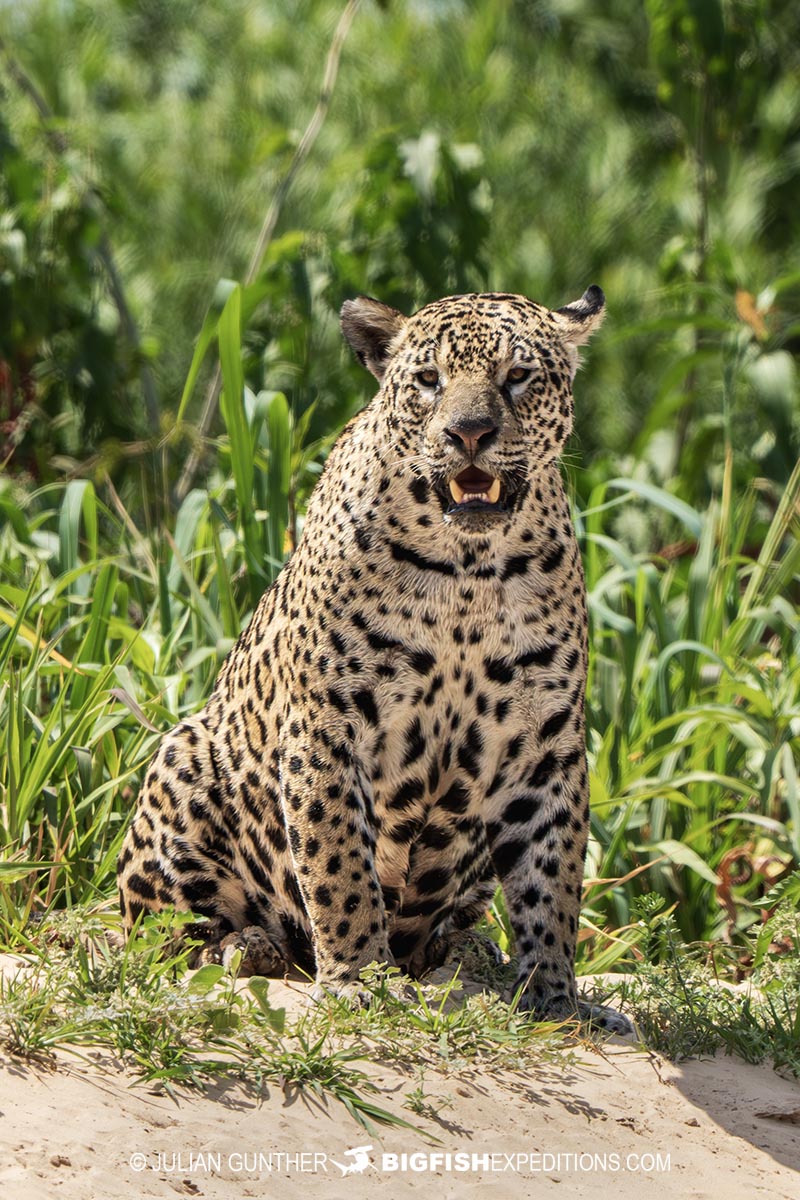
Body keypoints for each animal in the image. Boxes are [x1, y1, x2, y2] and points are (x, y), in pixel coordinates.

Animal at [117, 286, 632, 1033]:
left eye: (516, 377)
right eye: (429, 381)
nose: (469, 434)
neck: (469, 571)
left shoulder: (546, 744)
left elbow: (553, 880)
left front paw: (556, 996)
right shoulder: (328, 725)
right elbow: (340, 868)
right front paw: (361, 979)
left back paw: (467, 953)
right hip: (184, 759)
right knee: (158, 937)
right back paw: (245, 947)